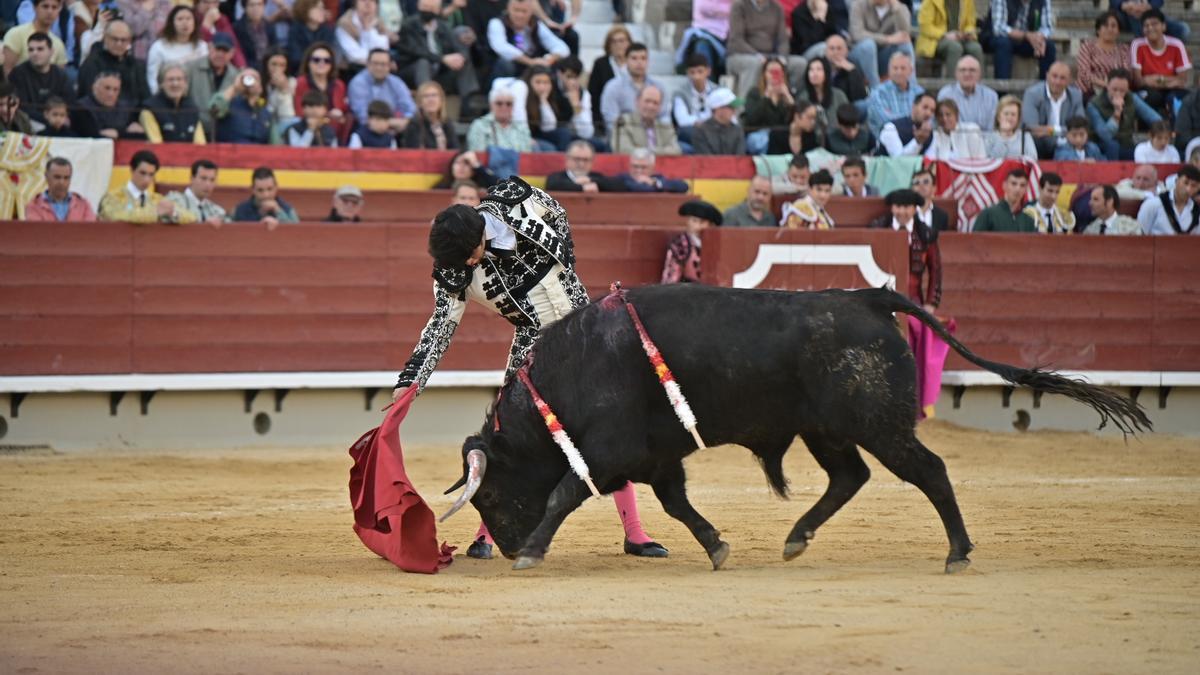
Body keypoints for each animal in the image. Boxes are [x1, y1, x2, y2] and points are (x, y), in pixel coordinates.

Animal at [444, 281, 1152, 569]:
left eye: (492, 495)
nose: (503, 544)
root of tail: (868, 298)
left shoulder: (611, 448)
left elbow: (565, 491)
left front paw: (534, 550)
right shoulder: (656, 456)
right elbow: (676, 503)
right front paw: (717, 546)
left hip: (878, 423)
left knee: (929, 470)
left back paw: (957, 553)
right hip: (827, 431)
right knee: (850, 477)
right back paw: (795, 538)